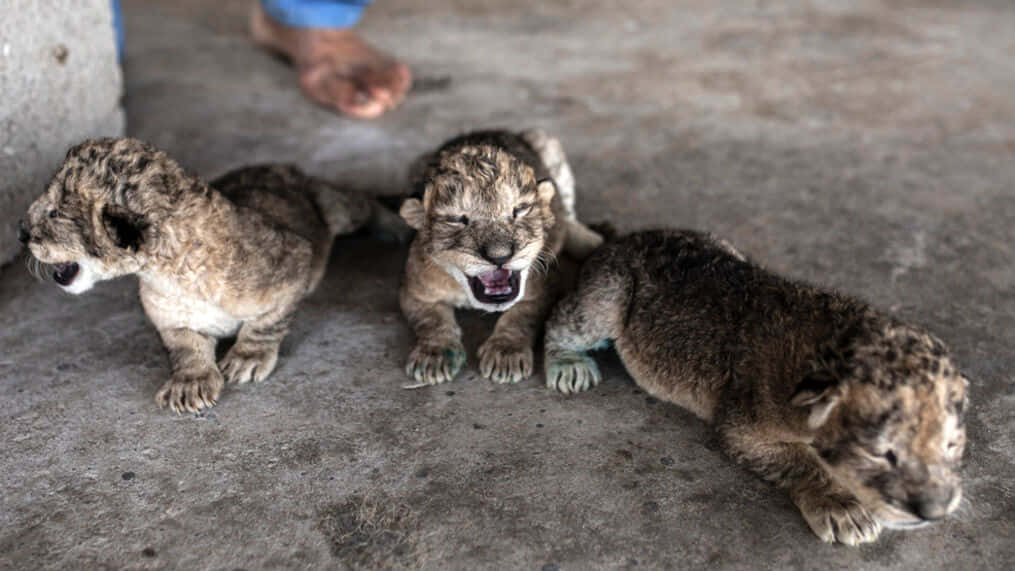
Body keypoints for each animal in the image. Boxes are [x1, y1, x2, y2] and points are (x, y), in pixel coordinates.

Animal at [19, 137, 402, 413]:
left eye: (53, 214)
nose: (21, 233)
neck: (169, 273)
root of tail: (280, 164)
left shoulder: (295, 260)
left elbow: (266, 324)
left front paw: (248, 359)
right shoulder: (167, 316)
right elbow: (185, 346)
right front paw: (191, 383)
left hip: (333, 208)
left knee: (360, 201)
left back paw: (396, 225)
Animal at [398, 129, 602, 385]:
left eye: (519, 210)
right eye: (457, 219)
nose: (499, 256)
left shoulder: (545, 286)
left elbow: (521, 317)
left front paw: (505, 355)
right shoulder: (414, 291)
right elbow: (431, 321)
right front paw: (434, 356)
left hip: (544, 141)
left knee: (567, 212)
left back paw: (591, 241)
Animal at [544, 230, 968, 544]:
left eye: (951, 445)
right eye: (882, 454)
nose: (935, 511)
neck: (829, 341)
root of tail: (623, 238)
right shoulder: (741, 425)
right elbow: (800, 460)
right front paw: (842, 507)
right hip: (608, 293)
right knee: (562, 320)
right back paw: (567, 364)